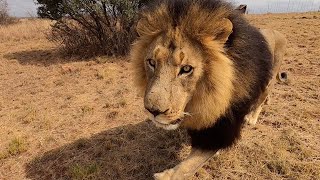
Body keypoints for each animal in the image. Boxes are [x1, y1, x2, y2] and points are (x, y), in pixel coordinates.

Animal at [130, 0, 288, 179]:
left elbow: (189, 165)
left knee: (261, 99)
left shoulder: (223, 126)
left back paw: (252, 118)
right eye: (151, 62)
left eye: (186, 69)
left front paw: (164, 176)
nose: (153, 111)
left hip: (269, 80)